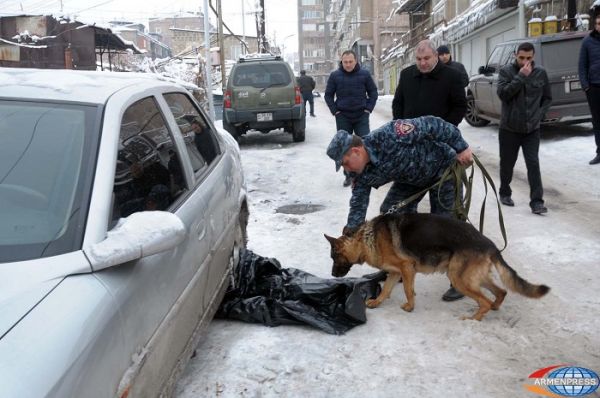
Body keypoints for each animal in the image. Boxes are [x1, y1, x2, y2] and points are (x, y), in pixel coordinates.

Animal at [326, 213, 552, 322]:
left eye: (334, 258)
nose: (332, 274)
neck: (366, 238)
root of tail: (490, 245)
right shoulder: (396, 272)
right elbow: (387, 289)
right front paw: (376, 302)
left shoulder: (407, 268)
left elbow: (408, 290)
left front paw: (410, 307)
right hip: (473, 277)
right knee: (501, 291)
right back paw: (494, 308)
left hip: (459, 278)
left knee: (485, 301)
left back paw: (474, 319)